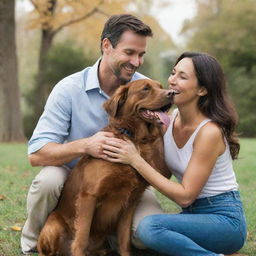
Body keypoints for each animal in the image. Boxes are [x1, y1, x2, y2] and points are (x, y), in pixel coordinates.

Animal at [37, 79, 173, 256]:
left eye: (161, 87)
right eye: (145, 88)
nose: (172, 93)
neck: (132, 137)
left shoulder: (131, 201)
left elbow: (124, 240)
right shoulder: (89, 196)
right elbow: (81, 237)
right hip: (53, 225)